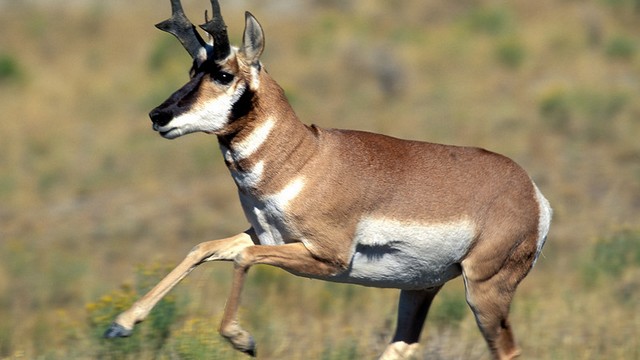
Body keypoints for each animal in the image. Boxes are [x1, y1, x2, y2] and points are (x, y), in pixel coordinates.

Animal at [105, 1, 552, 358]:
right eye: (192, 68)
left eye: (224, 75)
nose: (158, 116)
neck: (305, 157)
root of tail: (530, 192)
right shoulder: (264, 235)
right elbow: (203, 249)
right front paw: (120, 324)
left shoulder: (325, 257)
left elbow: (243, 258)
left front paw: (243, 339)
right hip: (420, 288)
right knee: (403, 346)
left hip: (484, 292)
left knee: (507, 351)